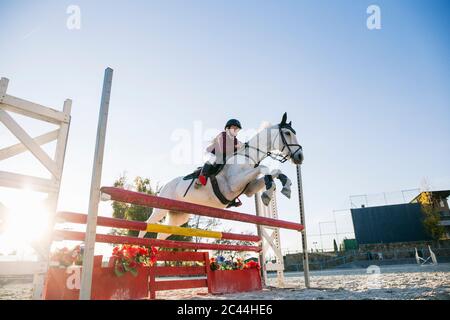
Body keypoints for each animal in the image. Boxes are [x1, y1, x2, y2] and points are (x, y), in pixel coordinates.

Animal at [139, 113, 304, 240]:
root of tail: (166, 184)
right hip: (160, 209)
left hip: (179, 216)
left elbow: (273, 173)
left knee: (161, 235)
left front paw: (284, 187)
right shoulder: (234, 184)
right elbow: (265, 168)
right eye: (288, 133)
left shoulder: (249, 190)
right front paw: (268, 192)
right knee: (145, 227)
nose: (300, 157)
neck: (247, 157)